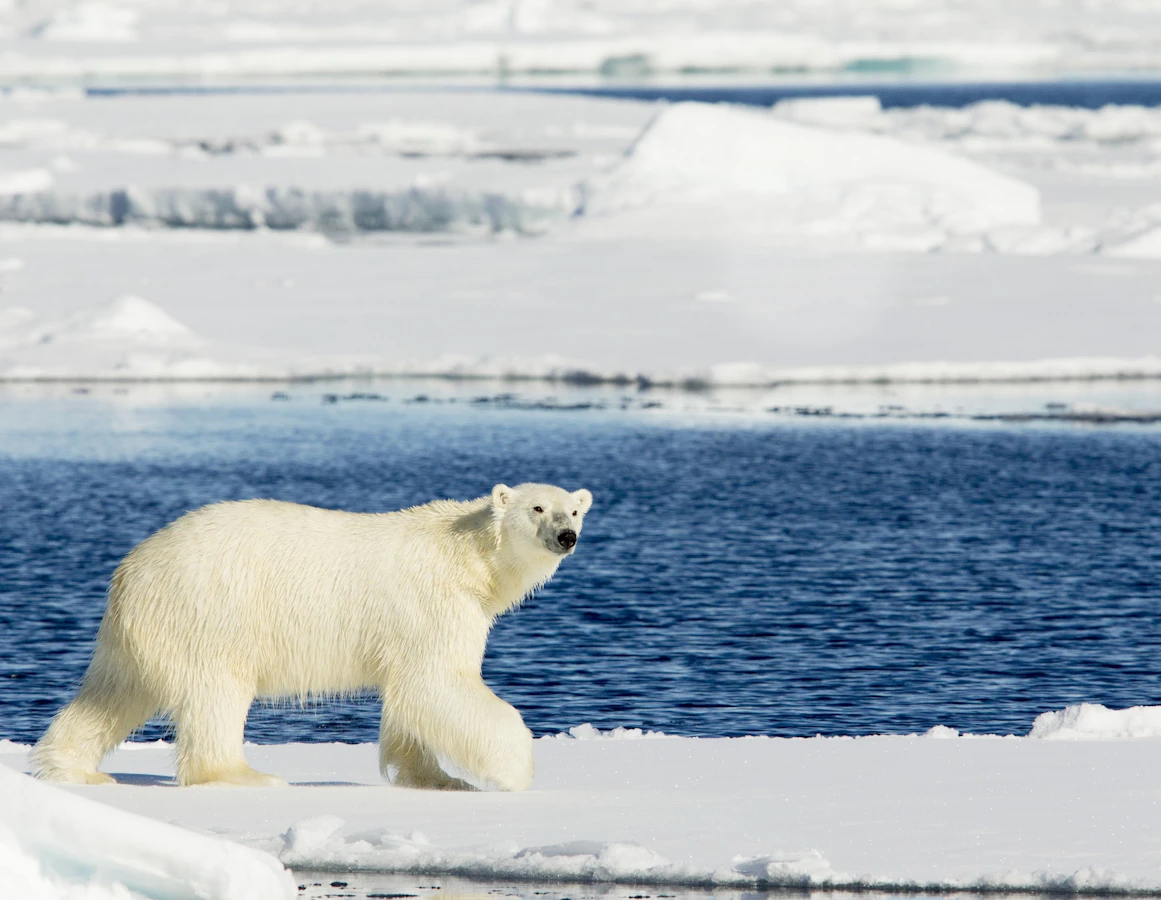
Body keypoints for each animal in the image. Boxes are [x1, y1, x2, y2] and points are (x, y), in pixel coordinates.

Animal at [31, 482, 592, 790]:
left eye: (574, 509)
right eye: (537, 508)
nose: (567, 536)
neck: (468, 557)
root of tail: (133, 567)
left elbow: (409, 700)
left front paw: (439, 777)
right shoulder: (433, 606)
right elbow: (438, 682)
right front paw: (514, 769)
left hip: (145, 631)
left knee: (112, 693)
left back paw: (73, 767)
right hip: (213, 611)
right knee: (216, 695)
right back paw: (244, 774)